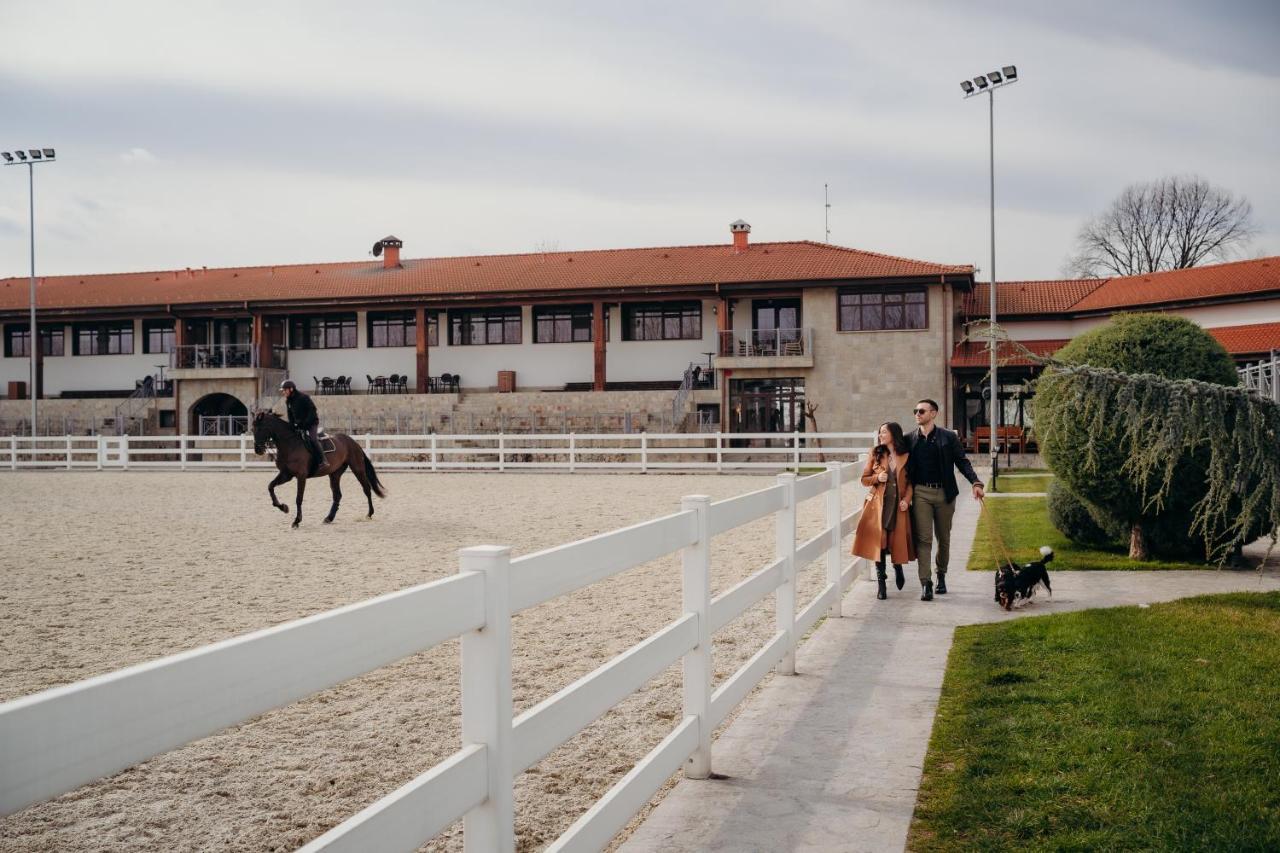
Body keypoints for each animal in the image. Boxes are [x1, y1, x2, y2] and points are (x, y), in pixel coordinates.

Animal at [250, 409, 384, 525]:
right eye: (252, 429)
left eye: (260, 428)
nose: (258, 450)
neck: (290, 444)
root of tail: (352, 441)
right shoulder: (286, 474)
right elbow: (270, 486)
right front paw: (284, 507)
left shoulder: (301, 476)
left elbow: (299, 498)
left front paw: (296, 521)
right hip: (334, 474)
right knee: (337, 495)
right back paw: (329, 518)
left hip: (358, 469)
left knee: (366, 489)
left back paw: (369, 514)